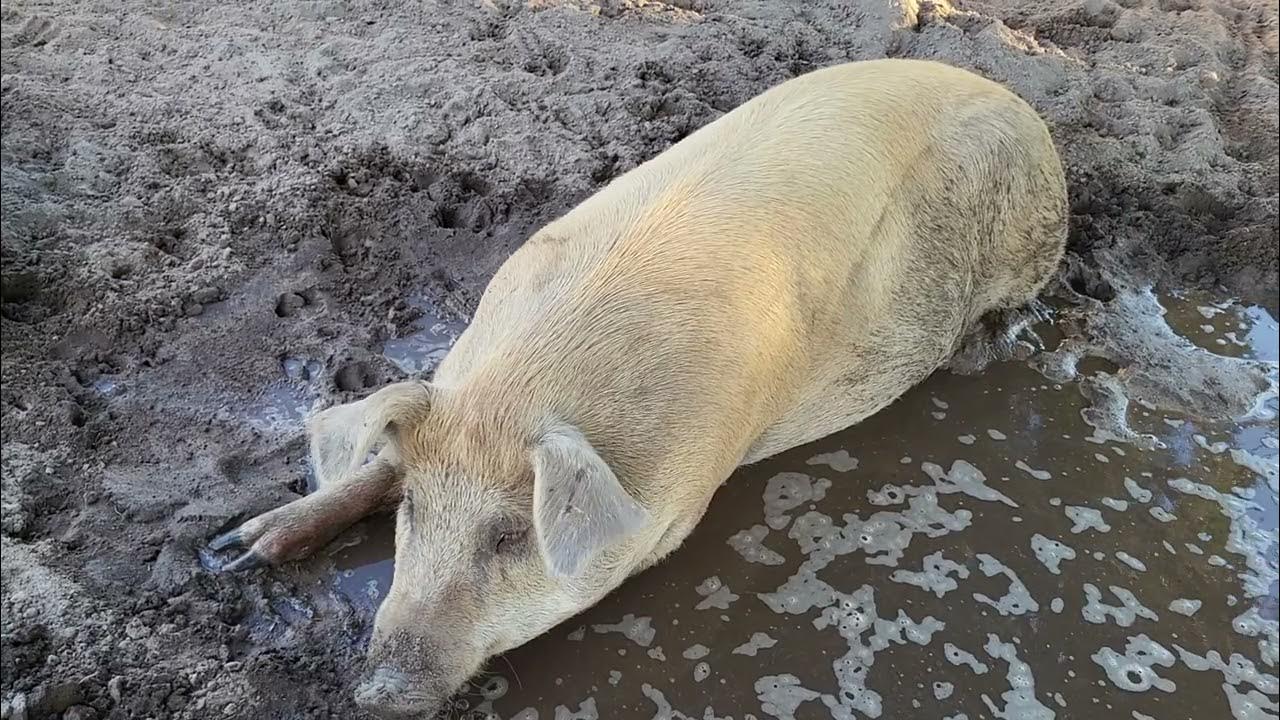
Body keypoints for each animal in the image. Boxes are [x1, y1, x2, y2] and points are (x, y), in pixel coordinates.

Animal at [210, 58, 1067, 717]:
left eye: (512, 535)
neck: (522, 390)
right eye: (415, 512)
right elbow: (380, 465)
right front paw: (232, 551)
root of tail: (1027, 109)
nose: (376, 693)